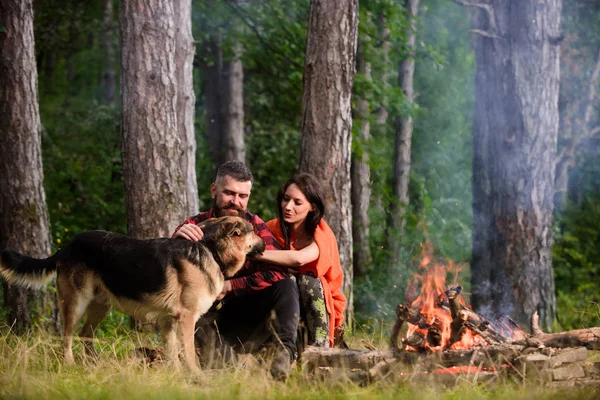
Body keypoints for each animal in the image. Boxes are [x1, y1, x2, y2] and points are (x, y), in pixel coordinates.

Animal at [0, 217, 264, 370]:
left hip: (101, 305)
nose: (266, 243)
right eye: (252, 231)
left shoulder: (168, 321)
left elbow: (173, 352)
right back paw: (70, 364)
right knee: (67, 337)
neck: (210, 250)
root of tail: (68, 246)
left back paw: (93, 365)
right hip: (76, 303)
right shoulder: (186, 318)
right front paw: (195, 377)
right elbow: (187, 352)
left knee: (86, 335)